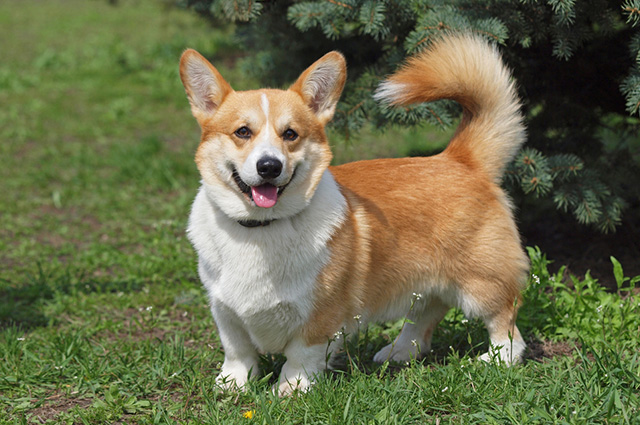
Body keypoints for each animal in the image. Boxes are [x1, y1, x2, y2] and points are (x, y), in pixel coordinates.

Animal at [180, 34, 528, 396]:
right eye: (242, 132)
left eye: (290, 134)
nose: (269, 166)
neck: (260, 228)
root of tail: (460, 159)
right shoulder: (224, 309)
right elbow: (238, 350)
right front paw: (232, 384)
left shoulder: (320, 314)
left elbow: (301, 355)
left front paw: (291, 389)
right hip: (424, 280)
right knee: (426, 313)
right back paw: (400, 351)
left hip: (481, 282)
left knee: (506, 319)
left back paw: (498, 359)